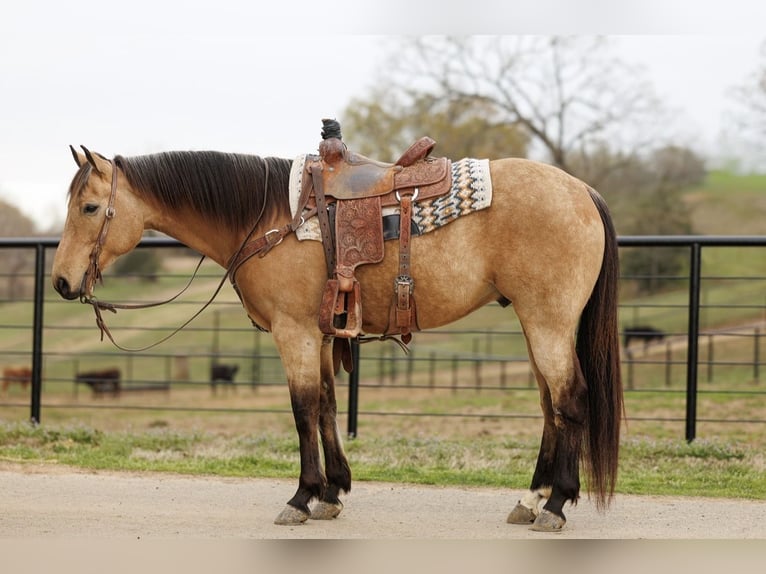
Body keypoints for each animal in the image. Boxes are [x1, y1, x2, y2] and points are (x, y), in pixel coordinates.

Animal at [51, 140, 623, 532]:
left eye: (88, 208)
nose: (60, 281)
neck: (268, 219)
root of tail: (583, 191)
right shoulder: (322, 336)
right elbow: (325, 405)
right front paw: (332, 492)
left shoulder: (295, 333)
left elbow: (303, 409)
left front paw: (302, 497)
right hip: (536, 324)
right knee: (550, 405)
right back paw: (531, 499)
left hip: (548, 322)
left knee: (571, 400)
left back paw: (556, 504)